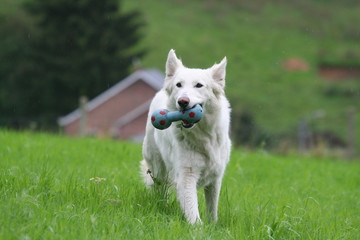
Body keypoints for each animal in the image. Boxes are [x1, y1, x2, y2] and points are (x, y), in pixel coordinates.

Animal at [141, 49, 231, 224]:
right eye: (179, 85)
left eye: (199, 85)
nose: (182, 101)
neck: (203, 136)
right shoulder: (186, 176)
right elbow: (192, 210)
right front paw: (198, 228)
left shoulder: (215, 179)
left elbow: (213, 209)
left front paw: (212, 226)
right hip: (158, 168)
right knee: (160, 188)